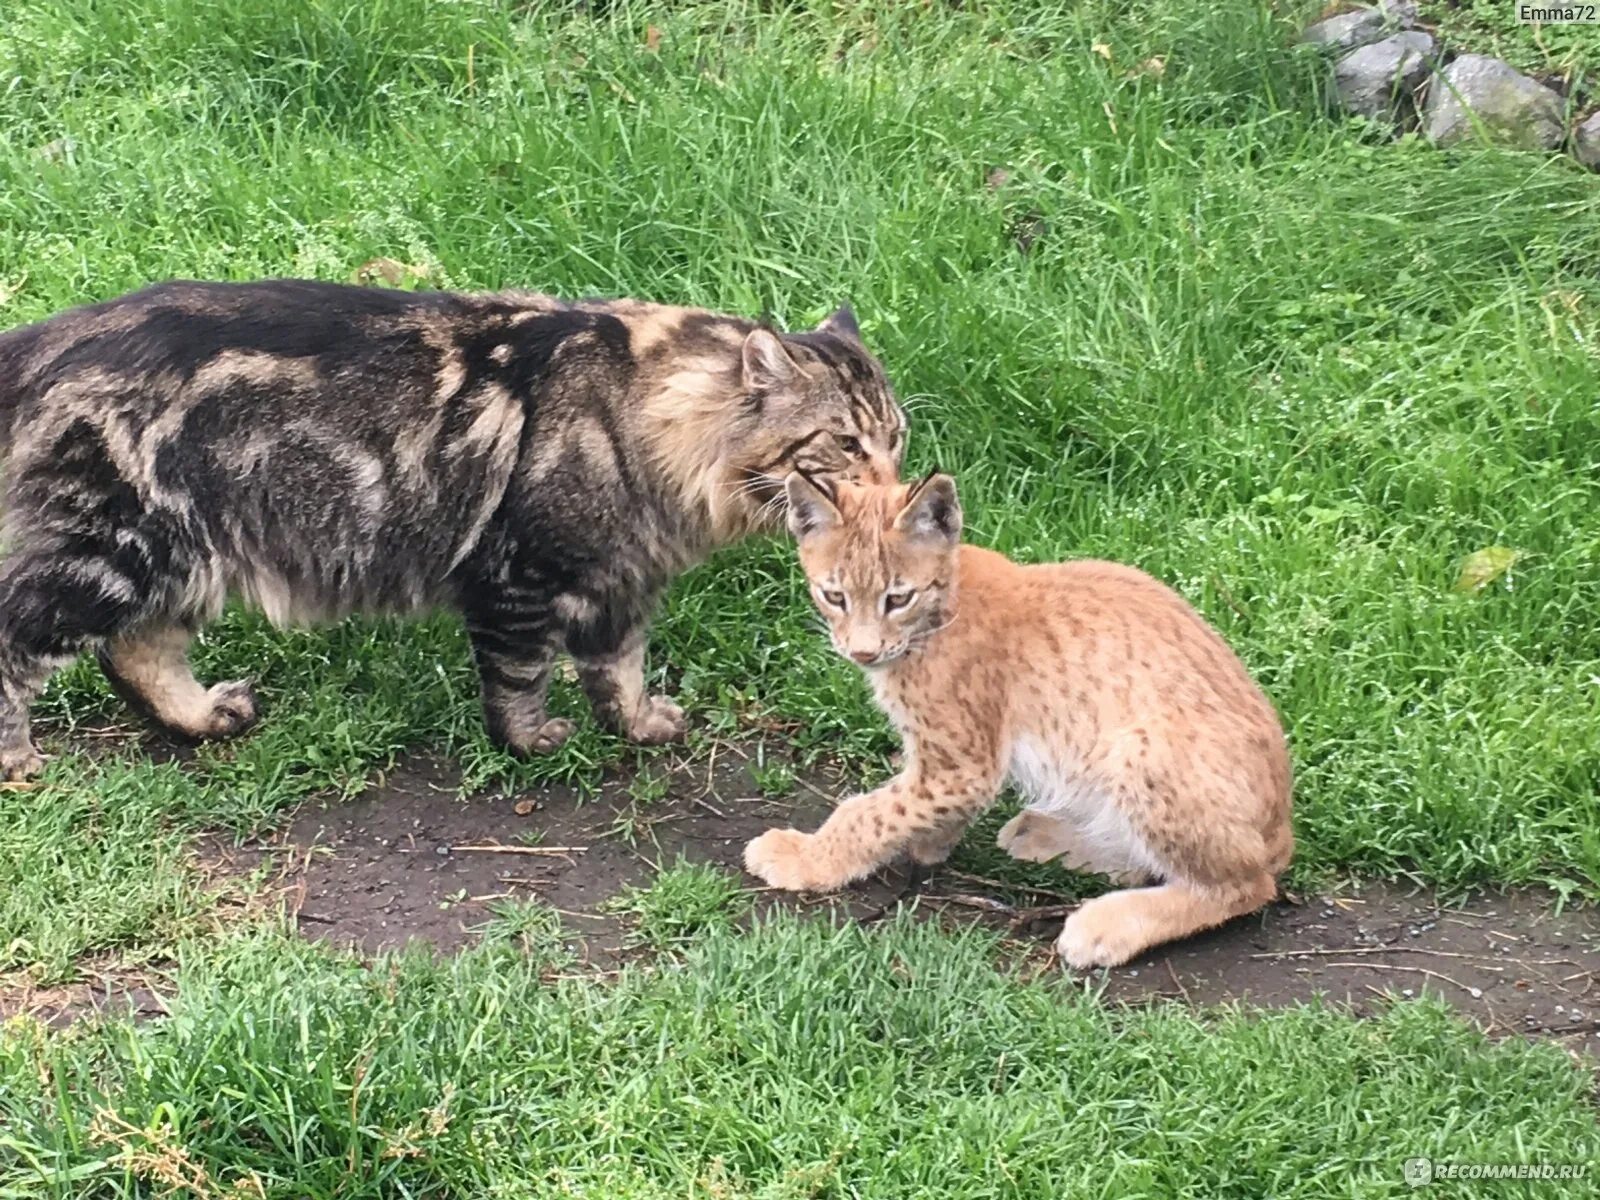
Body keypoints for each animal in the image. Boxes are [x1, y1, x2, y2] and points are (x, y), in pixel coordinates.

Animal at [0, 280, 902, 780]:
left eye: (896, 439)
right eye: (846, 444)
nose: (894, 490)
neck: (646, 418)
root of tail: (49, 336)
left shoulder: (621, 579)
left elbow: (620, 671)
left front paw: (640, 726)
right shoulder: (520, 573)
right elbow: (521, 677)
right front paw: (532, 742)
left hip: (182, 558)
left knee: (138, 653)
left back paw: (203, 717)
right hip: (111, 553)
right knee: (22, 644)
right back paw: (17, 762)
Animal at [742, 473, 1292, 972]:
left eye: (898, 598)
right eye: (834, 596)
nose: (862, 652)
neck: (939, 608)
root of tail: (1283, 826)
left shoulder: (962, 764)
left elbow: (868, 812)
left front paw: (808, 858)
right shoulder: (952, 763)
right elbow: (903, 807)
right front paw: (930, 843)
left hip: (1142, 745)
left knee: (1247, 885)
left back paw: (1106, 925)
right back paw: (1051, 837)